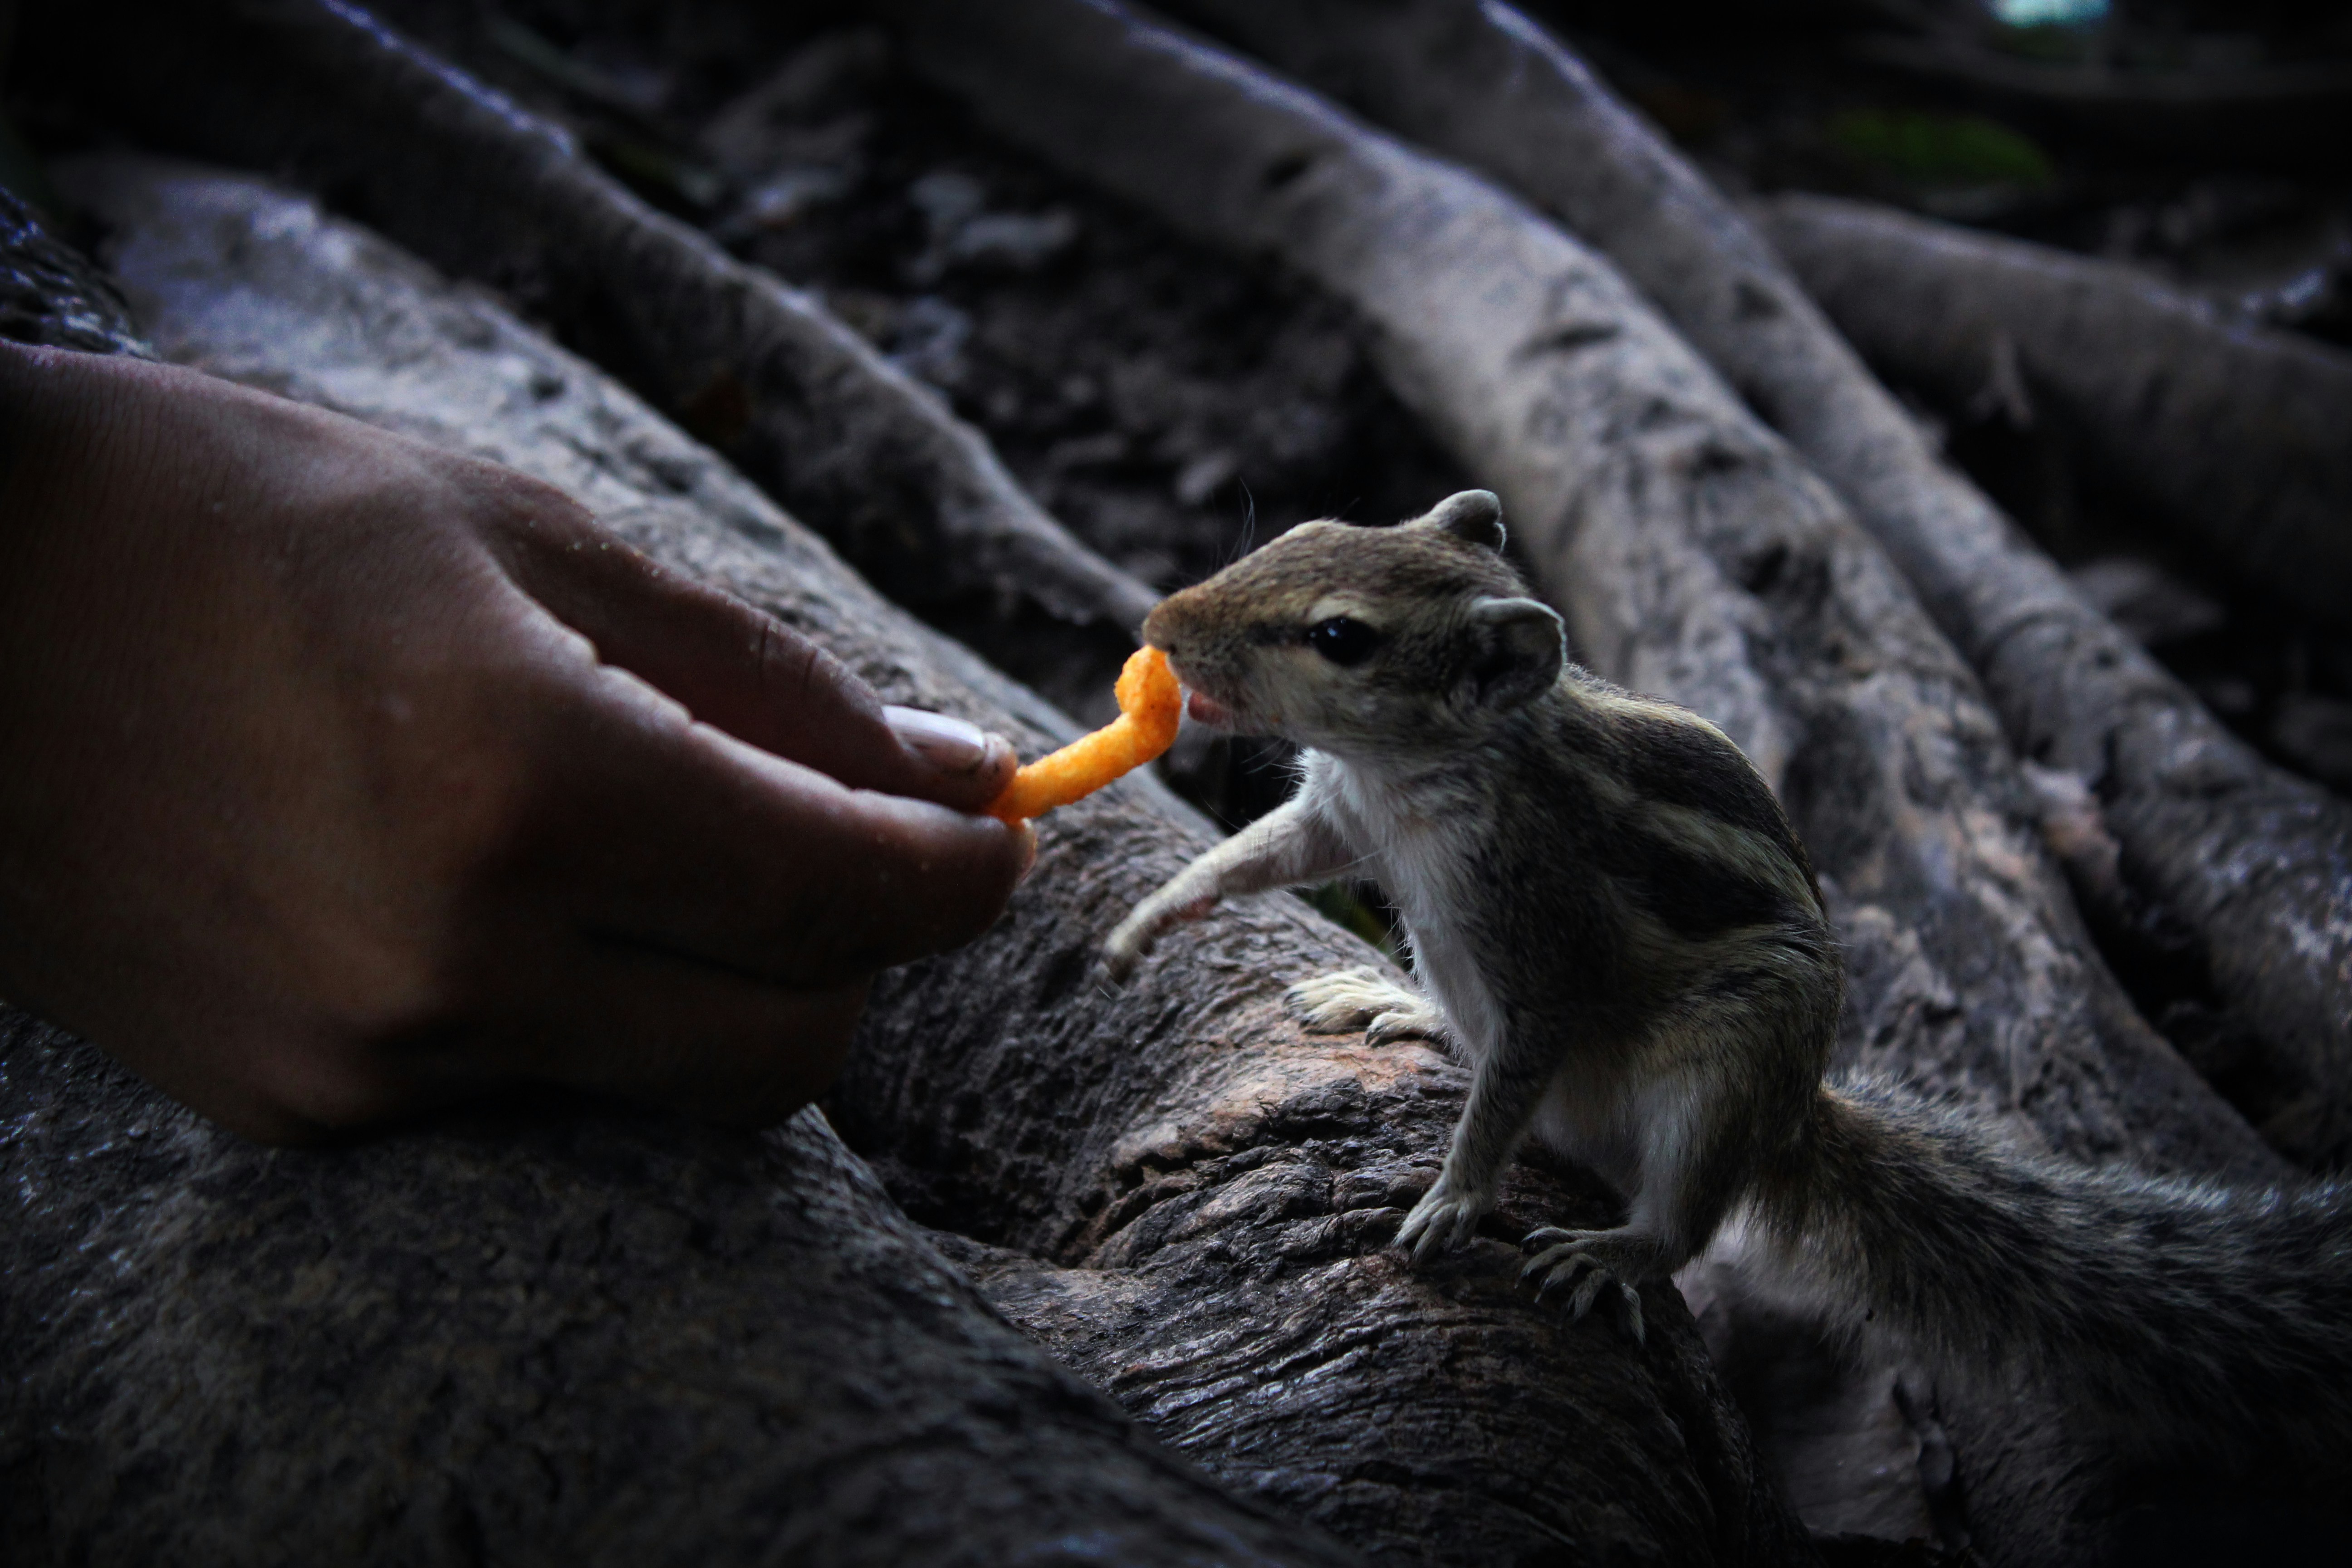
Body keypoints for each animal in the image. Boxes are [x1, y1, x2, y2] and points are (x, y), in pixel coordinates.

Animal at [1101, 494, 2352, 1476]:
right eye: (1305, 531)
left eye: (1339, 637)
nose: (1157, 628)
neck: (1423, 771)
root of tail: (1792, 1120)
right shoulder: (1341, 810)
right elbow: (1266, 852)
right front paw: (1153, 915)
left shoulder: (1541, 935)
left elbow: (1515, 1070)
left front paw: (1454, 1196)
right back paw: (1401, 1005)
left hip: (1732, 1058)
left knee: (1685, 1221)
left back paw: (1615, 1249)